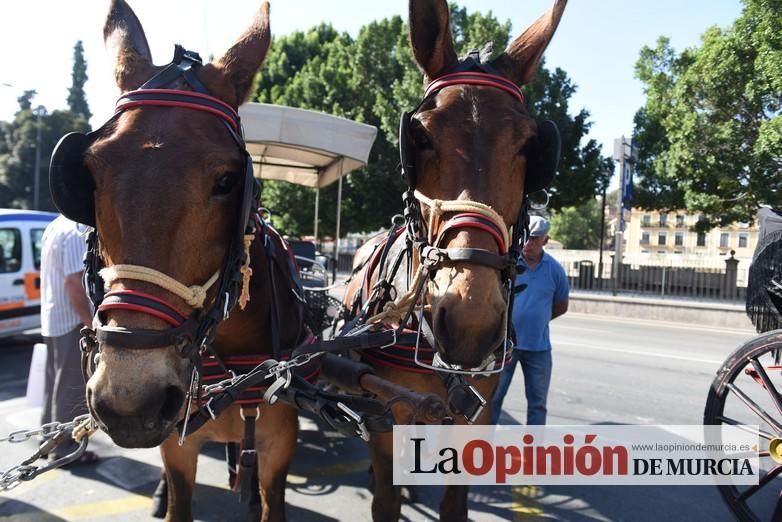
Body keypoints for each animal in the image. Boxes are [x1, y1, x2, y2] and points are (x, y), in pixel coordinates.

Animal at [49, 1, 310, 520]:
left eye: (228, 180)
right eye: (89, 175)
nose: (130, 399)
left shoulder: (279, 446)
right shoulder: (177, 445)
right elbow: (178, 494)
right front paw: (164, 494)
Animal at [346, 1, 568, 520]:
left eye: (530, 144)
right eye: (420, 137)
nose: (470, 319)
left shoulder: (475, 415)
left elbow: (455, 503)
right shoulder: (386, 414)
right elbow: (384, 500)